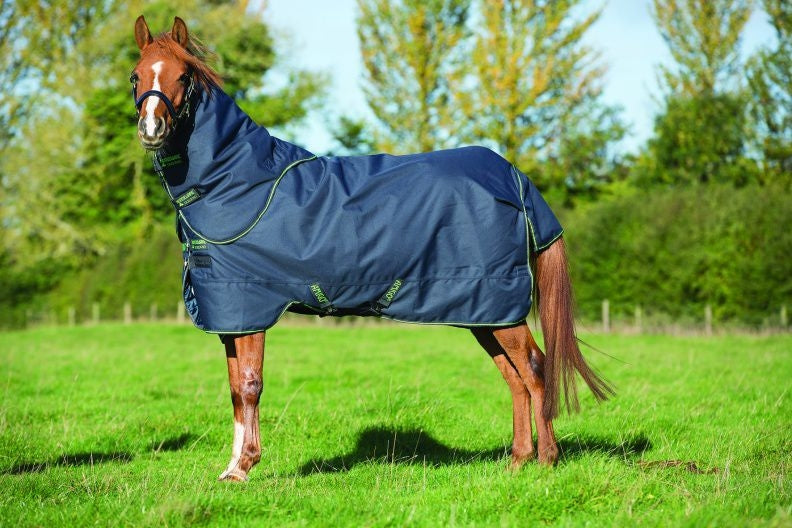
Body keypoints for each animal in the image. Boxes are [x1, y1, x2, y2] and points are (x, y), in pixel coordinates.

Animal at [131, 15, 612, 482]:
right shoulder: (230, 315)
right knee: (514, 378)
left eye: (184, 76)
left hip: (499, 304)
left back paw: (546, 461)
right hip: (484, 312)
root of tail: (513, 176)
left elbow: (250, 386)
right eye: (136, 76)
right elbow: (234, 390)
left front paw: (244, 467)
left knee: (534, 369)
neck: (238, 183)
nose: (151, 129)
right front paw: (231, 467)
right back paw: (516, 462)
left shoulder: (250, 305)